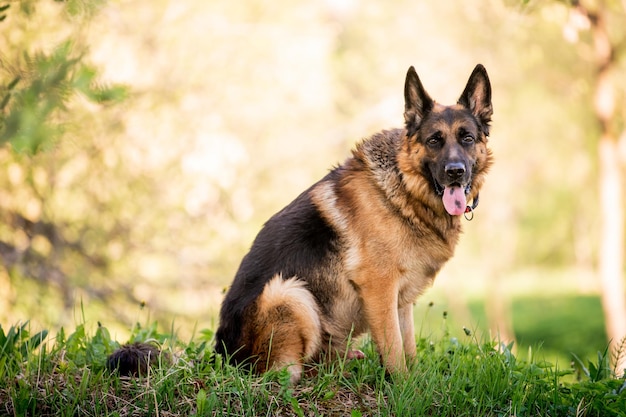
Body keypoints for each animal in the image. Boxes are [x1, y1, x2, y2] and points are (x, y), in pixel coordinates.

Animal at [214, 63, 492, 382]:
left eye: (467, 138)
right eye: (434, 140)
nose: (455, 172)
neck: (405, 188)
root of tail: (223, 356)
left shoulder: (401, 299)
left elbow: (408, 345)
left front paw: (415, 382)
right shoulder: (379, 287)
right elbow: (393, 347)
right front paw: (401, 384)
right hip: (288, 293)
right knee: (285, 374)